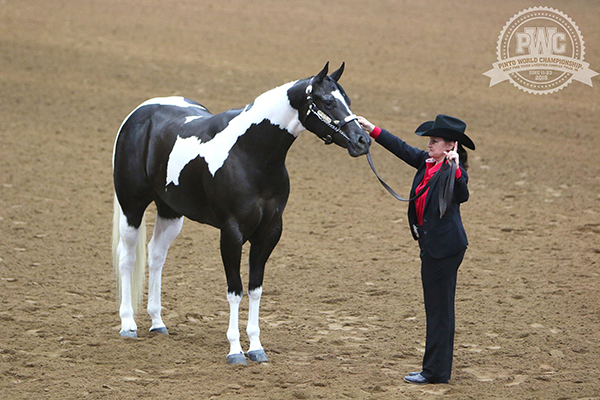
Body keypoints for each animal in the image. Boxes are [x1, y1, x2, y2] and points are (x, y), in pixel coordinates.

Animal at [110, 61, 368, 364]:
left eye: (347, 100)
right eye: (328, 101)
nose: (363, 141)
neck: (249, 154)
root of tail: (139, 113)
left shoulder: (268, 234)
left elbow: (255, 290)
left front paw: (256, 347)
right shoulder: (231, 233)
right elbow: (235, 291)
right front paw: (235, 350)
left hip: (170, 212)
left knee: (156, 255)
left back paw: (157, 322)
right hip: (132, 206)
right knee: (127, 257)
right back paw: (128, 324)